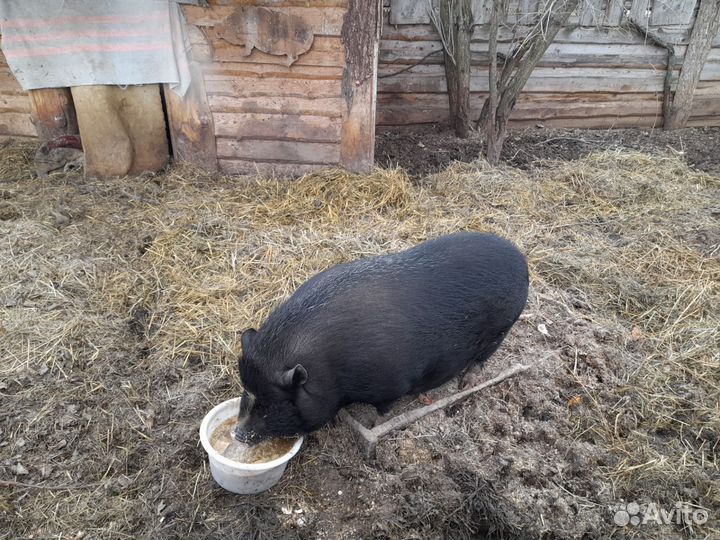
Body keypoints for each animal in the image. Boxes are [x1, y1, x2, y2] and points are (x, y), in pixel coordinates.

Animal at [235, 232, 528, 443]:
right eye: (246, 392)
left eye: (273, 404)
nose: (238, 433)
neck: (328, 370)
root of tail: (521, 260)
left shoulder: (391, 383)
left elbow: (383, 410)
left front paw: (373, 424)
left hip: (501, 328)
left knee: (483, 357)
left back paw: (466, 382)